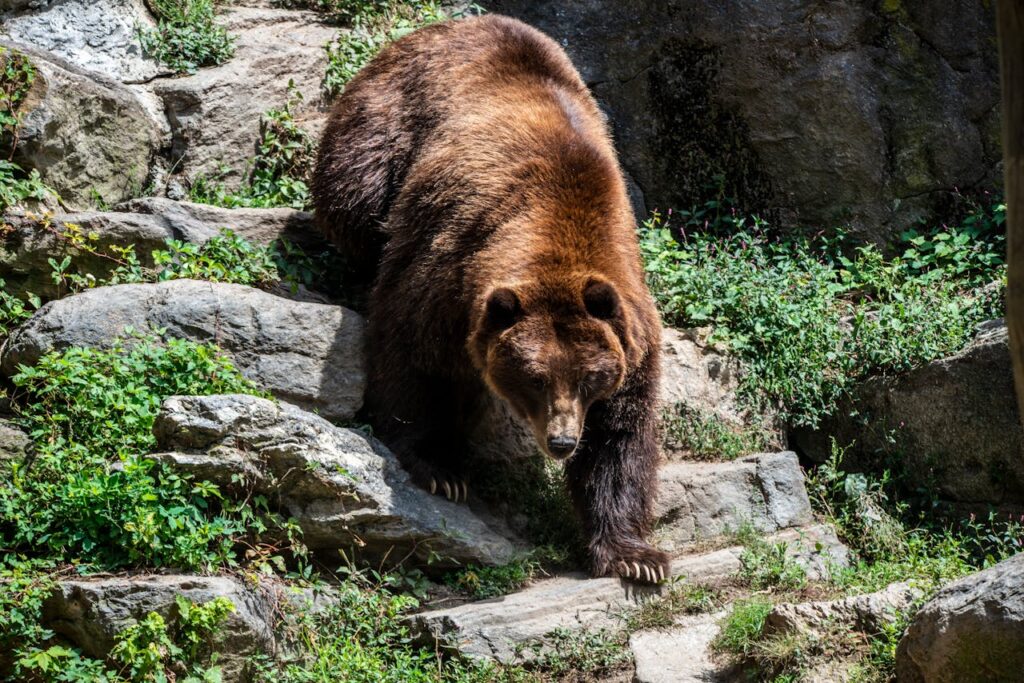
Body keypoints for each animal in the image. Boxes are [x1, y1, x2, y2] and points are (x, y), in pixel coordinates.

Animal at [312, 14, 669, 583]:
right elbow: (411, 356)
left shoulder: (628, 324)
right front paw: (440, 467)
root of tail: (454, 22)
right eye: (534, 377)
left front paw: (634, 557)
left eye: (589, 377)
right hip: (387, 120)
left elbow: (620, 435)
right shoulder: (448, 273)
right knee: (354, 197)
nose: (562, 441)